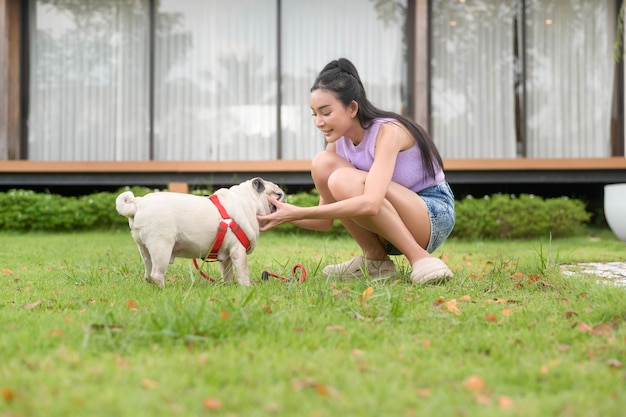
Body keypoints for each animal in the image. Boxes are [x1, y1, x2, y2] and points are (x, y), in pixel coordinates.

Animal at [115, 176, 286, 286]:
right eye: (278, 194)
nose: (284, 199)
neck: (250, 201)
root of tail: (138, 203)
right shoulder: (238, 251)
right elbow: (243, 271)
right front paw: (246, 287)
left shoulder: (227, 255)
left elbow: (227, 272)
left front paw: (228, 286)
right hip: (161, 246)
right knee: (157, 273)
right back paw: (164, 289)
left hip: (145, 249)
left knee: (148, 272)